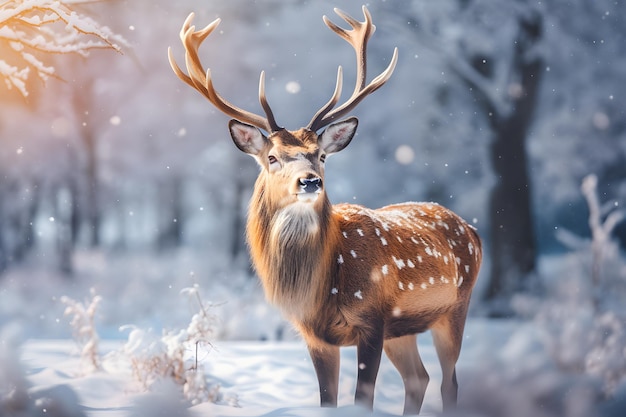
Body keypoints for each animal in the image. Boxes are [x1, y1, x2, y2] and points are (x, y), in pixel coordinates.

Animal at [168, 5, 480, 412]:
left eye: (321, 155)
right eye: (272, 157)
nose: (310, 180)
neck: (322, 288)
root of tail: (473, 230)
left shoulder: (372, 320)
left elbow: (363, 399)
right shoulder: (315, 335)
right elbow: (326, 400)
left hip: (455, 308)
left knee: (449, 383)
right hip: (404, 330)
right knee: (418, 378)